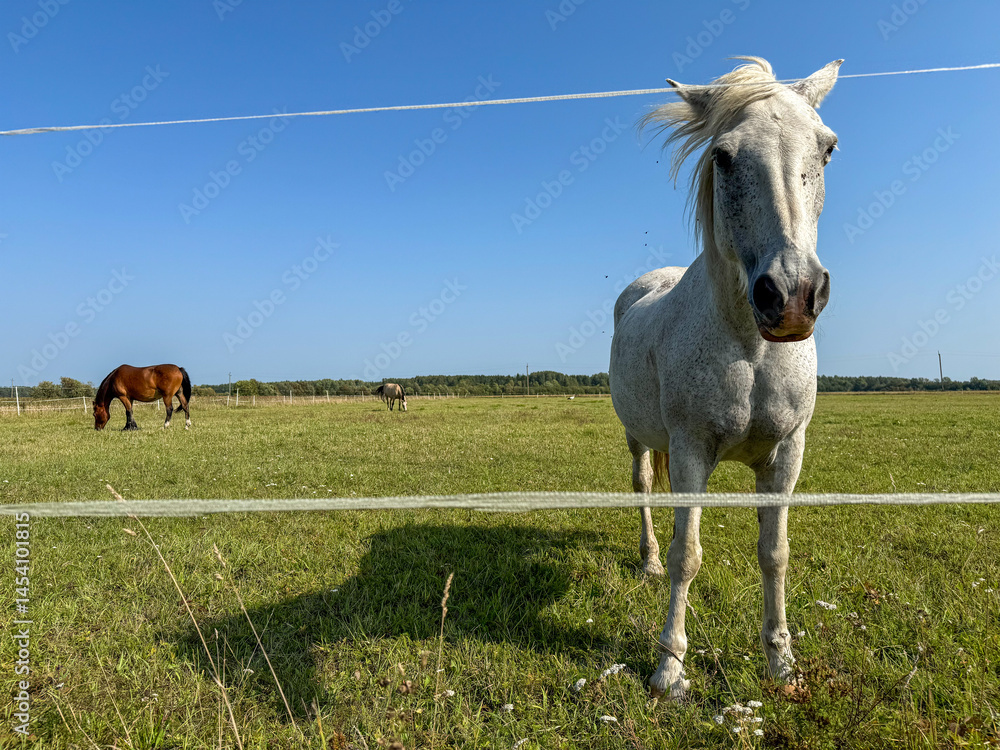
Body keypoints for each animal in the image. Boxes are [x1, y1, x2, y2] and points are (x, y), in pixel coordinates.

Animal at [609, 57, 841, 700]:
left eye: (827, 148)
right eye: (723, 156)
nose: (791, 296)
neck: (751, 350)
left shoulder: (787, 455)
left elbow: (775, 553)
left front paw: (780, 661)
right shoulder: (691, 449)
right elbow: (688, 554)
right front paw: (669, 668)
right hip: (639, 438)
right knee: (644, 489)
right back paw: (647, 561)